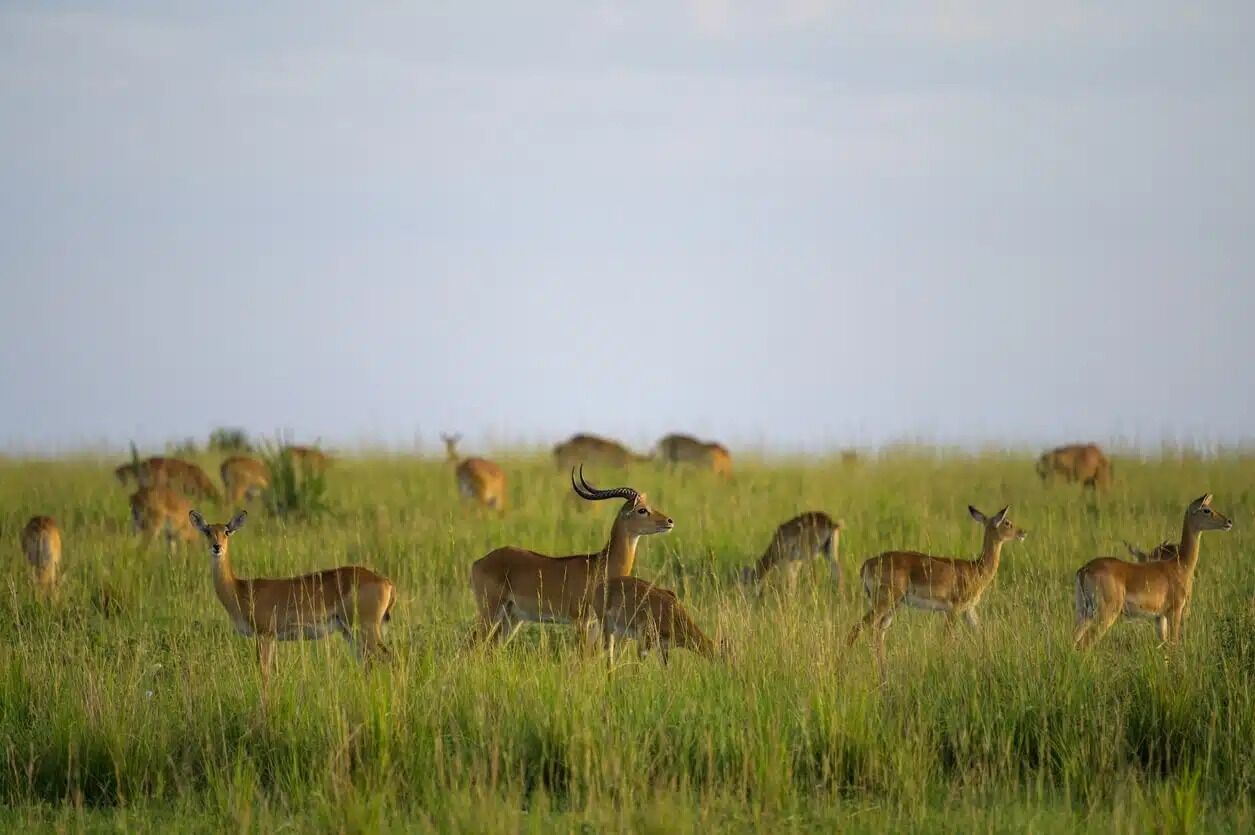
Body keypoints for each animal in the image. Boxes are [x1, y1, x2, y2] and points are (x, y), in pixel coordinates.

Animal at [188, 507, 394, 683]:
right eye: (207, 531)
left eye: (227, 531)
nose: (217, 547)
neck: (240, 589)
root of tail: (386, 582)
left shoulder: (265, 635)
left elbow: (264, 673)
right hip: (350, 632)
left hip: (365, 629)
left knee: (389, 658)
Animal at [469, 469, 672, 642]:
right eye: (642, 510)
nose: (669, 521)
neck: (601, 566)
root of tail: (477, 562)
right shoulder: (581, 621)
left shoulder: (595, 624)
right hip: (491, 612)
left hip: (512, 618)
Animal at [843, 504, 1029, 673]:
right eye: (1007, 522)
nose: (1023, 533)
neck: (977, 569)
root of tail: (867, 564)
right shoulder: (954, 609)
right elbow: (947, 639)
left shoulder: (968, 610)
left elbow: (981, 633)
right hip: (884, 602)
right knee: (857, 629)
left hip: (893, 606)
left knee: (878, 633)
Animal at [1069, 492, 1234, 647]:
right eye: (1206, 510)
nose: (1228, 522)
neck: (1180, 565)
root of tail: (1084, 570)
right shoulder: (1175, 611)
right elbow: (1174, 644)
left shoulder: (1159, 617)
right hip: (1105, 614)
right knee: (1085, 643)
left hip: (1084, 613)